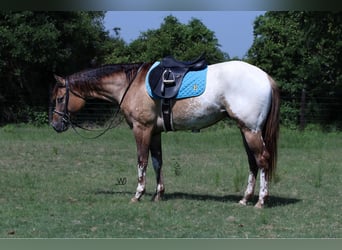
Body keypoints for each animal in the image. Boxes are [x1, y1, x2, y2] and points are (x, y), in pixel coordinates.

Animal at [51, 57, 280, 208]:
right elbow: (157, 161)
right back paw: (245, 199)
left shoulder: (142, 129)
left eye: (60, 98)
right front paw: (158, 194)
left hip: (251, 130)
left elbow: (142, 160)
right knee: (252, 162)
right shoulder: (154, 132)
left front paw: (138, 195)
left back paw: (261, 201)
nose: (55, 125)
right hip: (246, 130)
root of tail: (266, 77)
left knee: (262, 159)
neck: (130, 85)